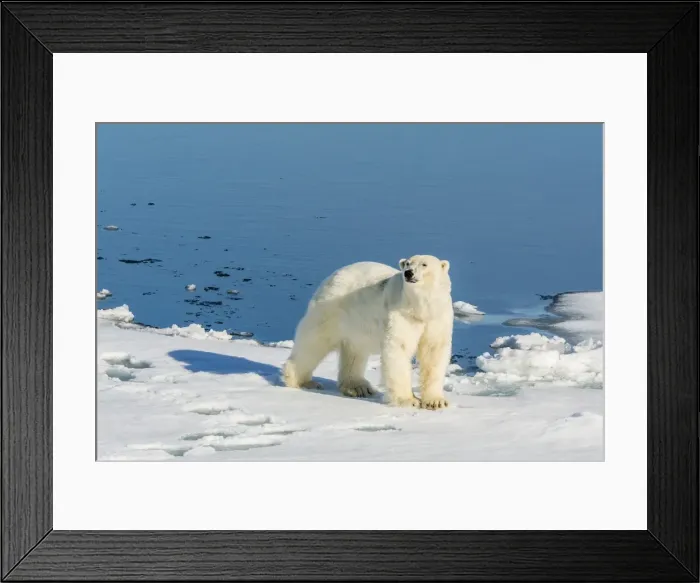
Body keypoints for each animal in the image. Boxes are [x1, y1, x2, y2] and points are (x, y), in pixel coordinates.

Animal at [281, 255, 453, 410]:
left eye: (424, 264)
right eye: (407, 264)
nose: (408, 273)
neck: (421, 308)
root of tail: (333, 276)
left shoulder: (437, 318)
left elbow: (433, 352)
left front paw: (436, 402)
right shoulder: (402, 314)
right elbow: (399, 347)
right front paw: (408, 400)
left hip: (357, 323)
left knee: (354, 351)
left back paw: (358, 387)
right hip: (332, 309)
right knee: (315, 341)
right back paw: (302, 381)